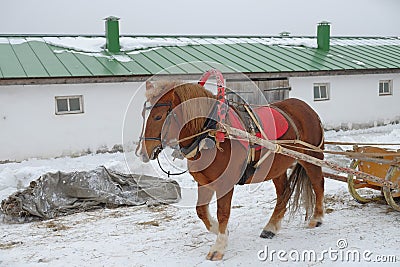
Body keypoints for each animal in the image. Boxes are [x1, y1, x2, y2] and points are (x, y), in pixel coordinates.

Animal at [138, 81, 324, 262]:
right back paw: (271, 227)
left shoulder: (225, 184)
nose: (142, 152)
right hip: (276, 168)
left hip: (311, 157)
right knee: (284, 193)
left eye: (158, 116)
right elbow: (201, 211)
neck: (211, 134)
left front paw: (218, 247)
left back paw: (317, 218)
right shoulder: (204, 182)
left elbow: (222, 213)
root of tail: (306, 107)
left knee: (318, 184)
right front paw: (219, 230)